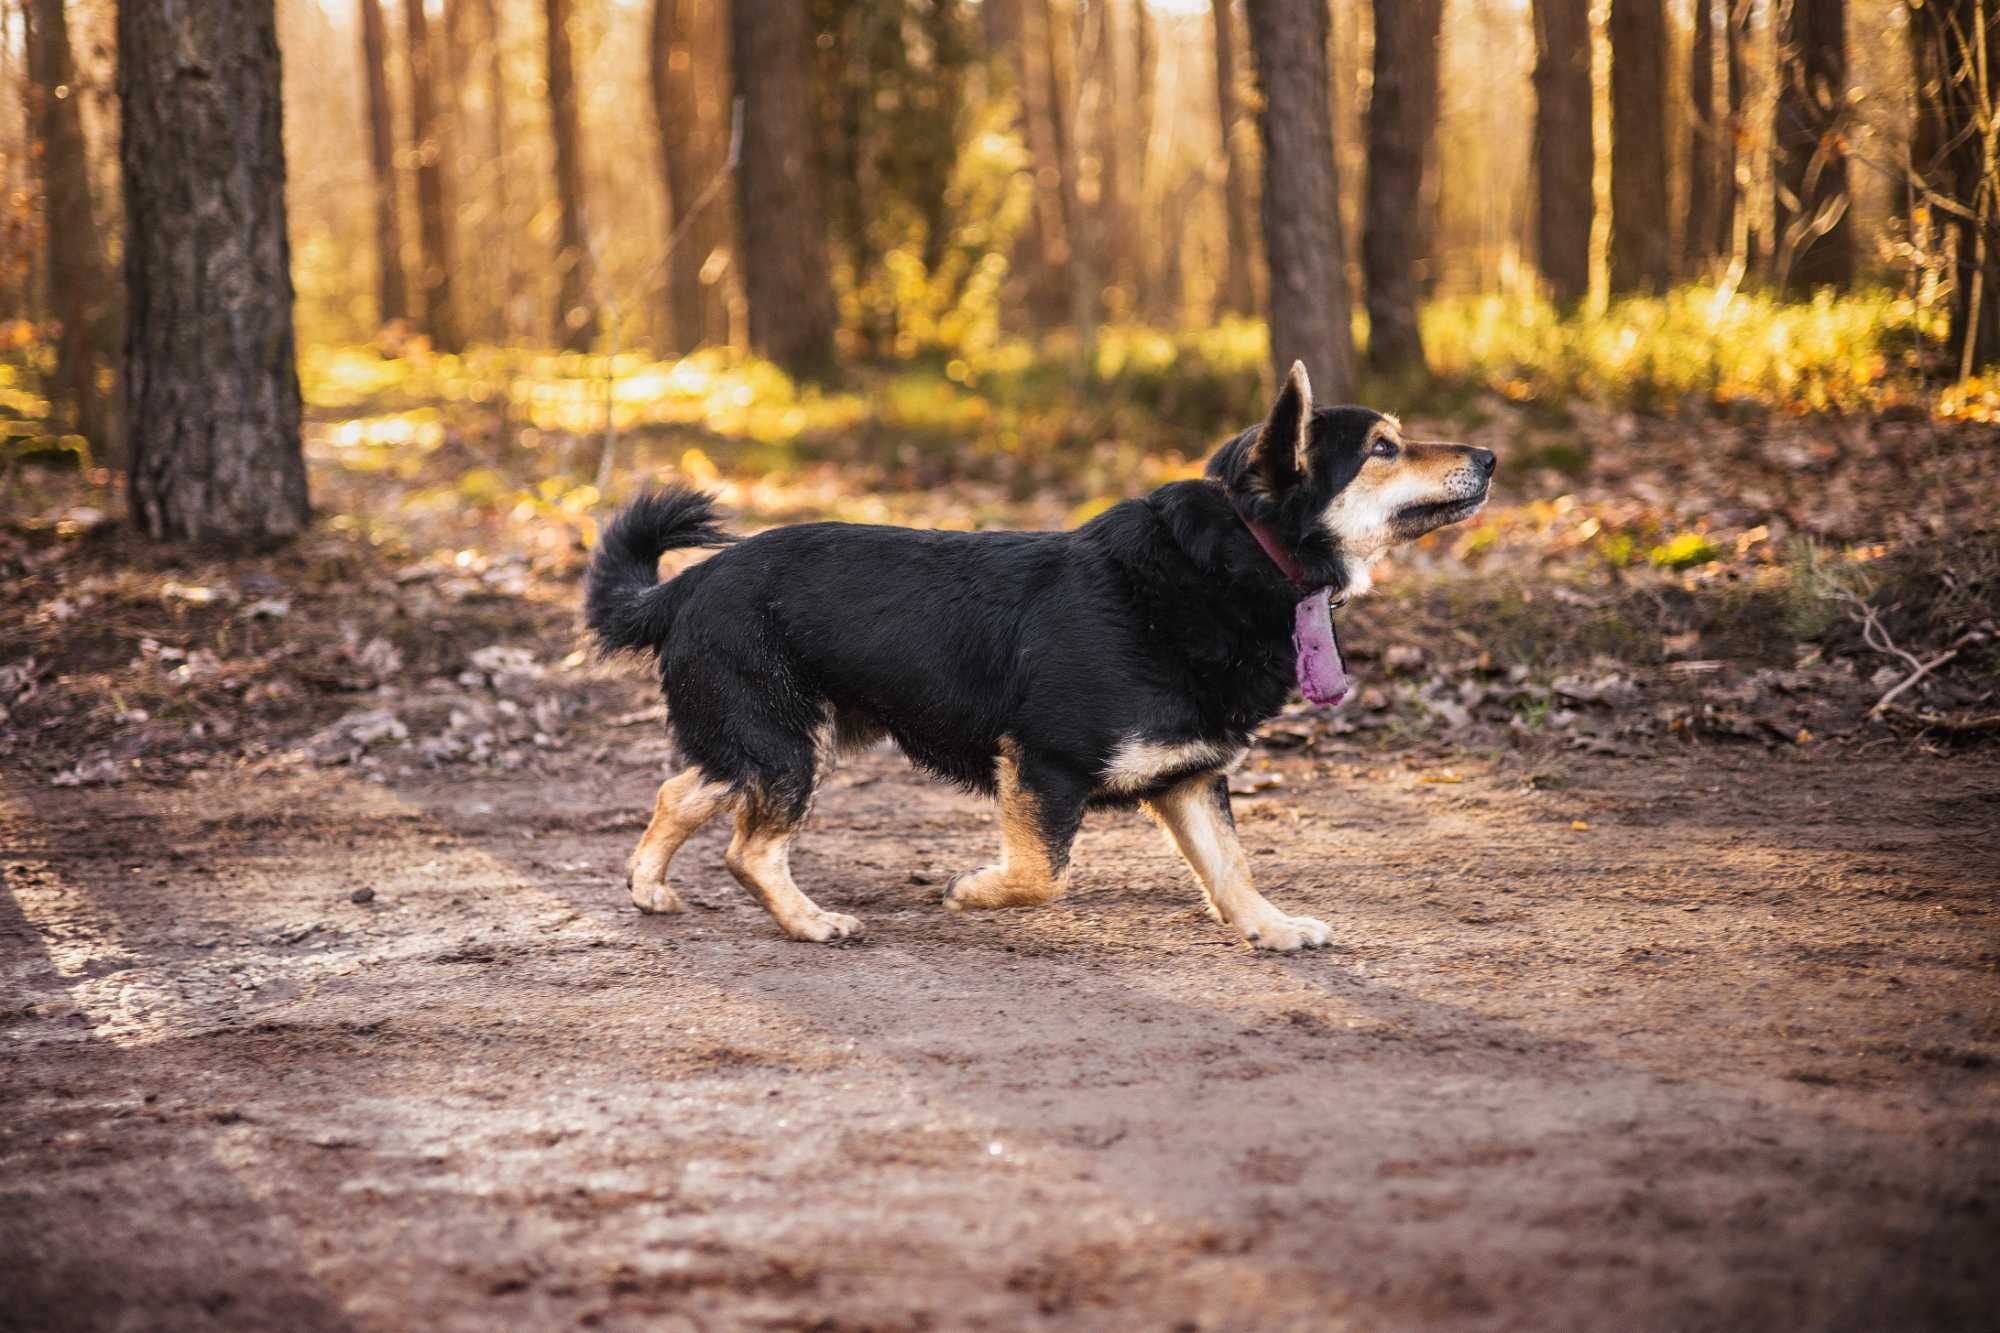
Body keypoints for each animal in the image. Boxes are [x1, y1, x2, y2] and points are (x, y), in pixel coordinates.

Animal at [584, 364, 1496, 944]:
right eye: (1383, 447)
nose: (1491, 455)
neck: (1237, 560)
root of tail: (684, 586)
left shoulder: (1190, 776)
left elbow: (1231, 866)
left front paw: (1269, 928)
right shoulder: (1044, 762)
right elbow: (1044, 872)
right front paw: (975, 890)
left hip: (777, 738)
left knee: (680, 789)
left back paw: (650, 885)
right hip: (787, 744)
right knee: (748, 846)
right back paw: (810, 921)